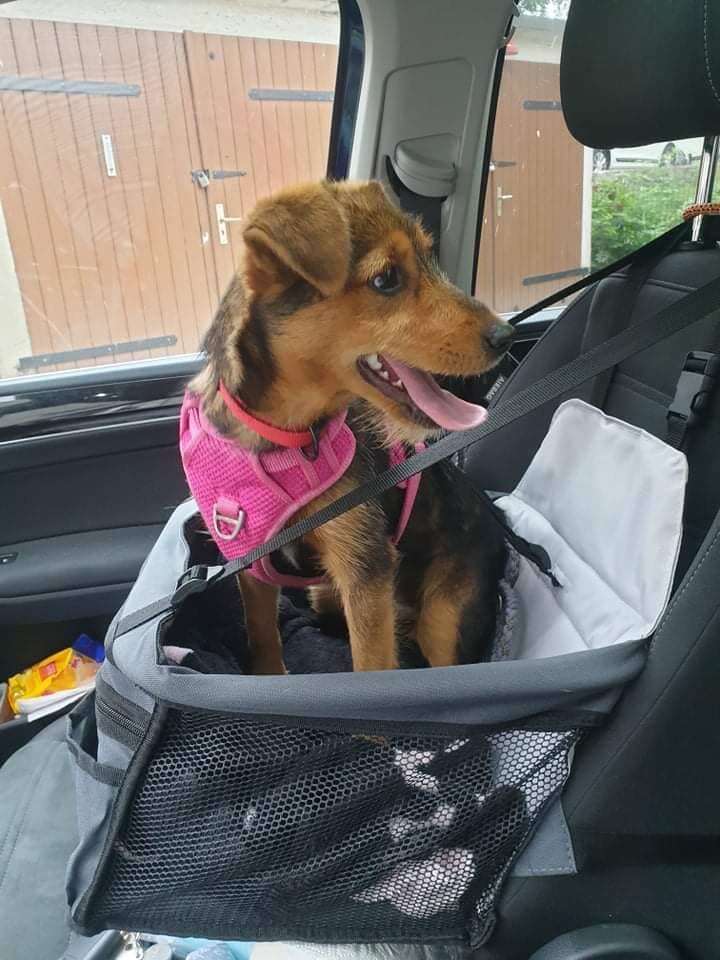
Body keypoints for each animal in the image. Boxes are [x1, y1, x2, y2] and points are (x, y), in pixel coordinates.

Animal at [183, 179, 514, 674]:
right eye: (385, 279)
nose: (505, 336)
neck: (290, 436)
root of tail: (497, 520)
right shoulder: (251, 565)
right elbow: (262, 638)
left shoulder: (364, 569)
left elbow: (371, 667)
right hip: (325, 593)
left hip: (448, 613)